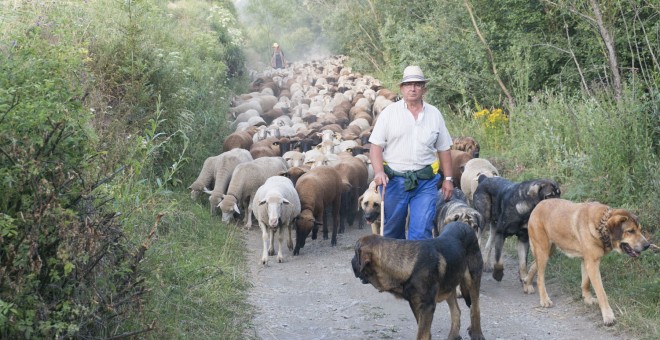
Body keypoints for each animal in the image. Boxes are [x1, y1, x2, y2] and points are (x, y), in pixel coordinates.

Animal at [350, 220, 484, 340]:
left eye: (355, 253)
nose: (351, 262)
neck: (409, 265)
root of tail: (464, 224)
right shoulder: (415, 304)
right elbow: (424, 331)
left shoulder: (427, 306)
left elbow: (422, 334)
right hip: (450, 284)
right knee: (456, 311)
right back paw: (454, 335)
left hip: (472, 280)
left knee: (475, 309)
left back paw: (477, 334)